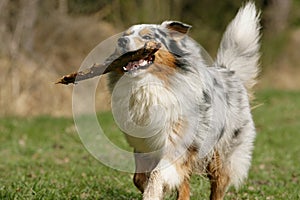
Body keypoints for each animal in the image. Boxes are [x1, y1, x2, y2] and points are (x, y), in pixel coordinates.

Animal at [105, 1, 258, 200]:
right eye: (125, 35)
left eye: (147, 36)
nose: (120, 41)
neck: (149, 86)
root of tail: (228, 70)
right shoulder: (144, 144)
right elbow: (139, 178)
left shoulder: (177, 144)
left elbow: (157, 174)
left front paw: (152, 193)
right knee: (185, 185)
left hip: (222, 153)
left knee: (218, 185)